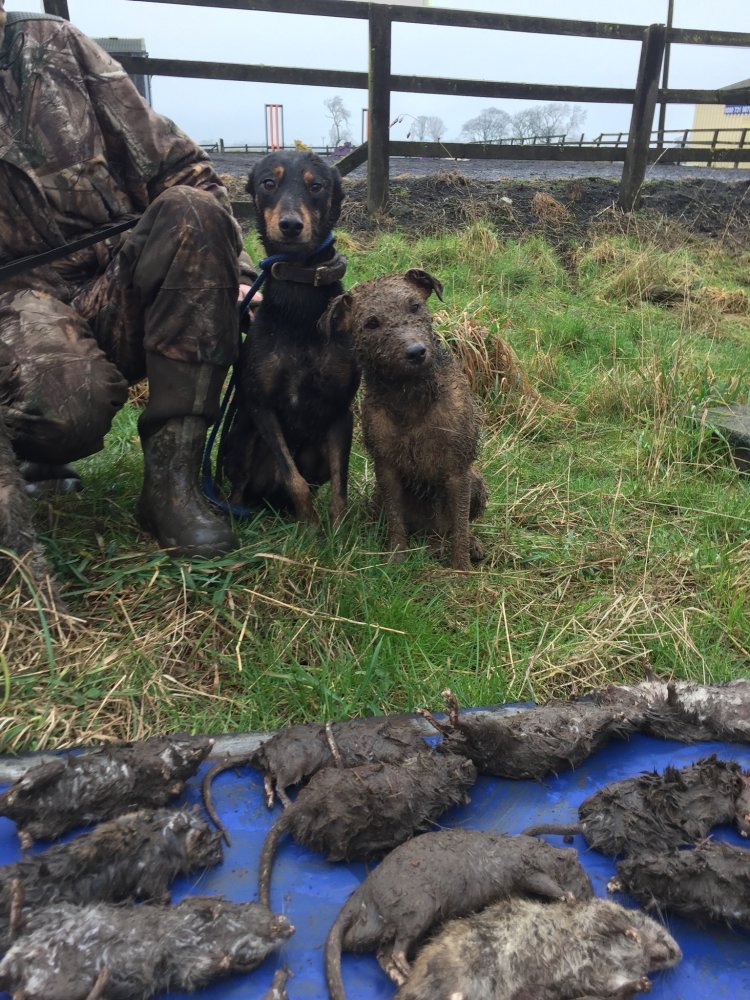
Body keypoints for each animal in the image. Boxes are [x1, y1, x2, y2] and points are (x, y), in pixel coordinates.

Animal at [220, 151, 360, 526]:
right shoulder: (261, 407)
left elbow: (339, 484)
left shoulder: (340, 410)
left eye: (317, 186)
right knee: (241, 484)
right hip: (239, 437)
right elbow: (292, 477)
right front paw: (310, 526)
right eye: (269, 183)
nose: (291, 225)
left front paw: (338, 530)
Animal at [327, 269, 487, 570]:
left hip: (476, 483)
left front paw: (461, 568)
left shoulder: (457, 469)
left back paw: (472, 544)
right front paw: (396, 557)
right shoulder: (386, 467)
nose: (416, 352)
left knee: (458, 526)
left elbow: (461, 526)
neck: (412, 398)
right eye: (372, 323)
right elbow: (395, 521)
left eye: (414, 306)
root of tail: (430, 534)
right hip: (377, 495)